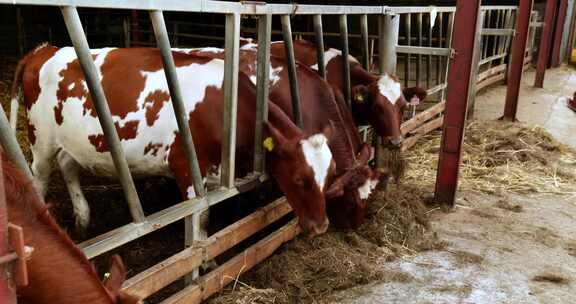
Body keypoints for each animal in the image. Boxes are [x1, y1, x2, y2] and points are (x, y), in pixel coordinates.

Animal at [11, 44, 338, 235]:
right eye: (300, 179)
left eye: (330, 176)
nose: (322, 226)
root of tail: (44, 49)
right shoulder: (186, 166)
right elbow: (201, 218)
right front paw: (206, 262)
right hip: (40, 139)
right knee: (39, 178)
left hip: (77, 140)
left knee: (67, 164)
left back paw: (82, 219)